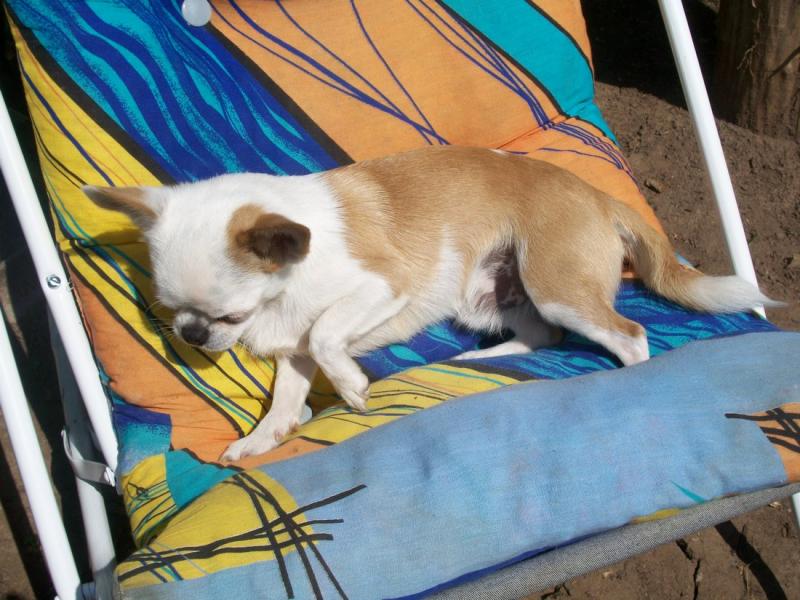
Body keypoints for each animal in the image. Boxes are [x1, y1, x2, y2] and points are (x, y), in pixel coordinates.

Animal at [83, 146, 780, 460]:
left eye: (229, 316)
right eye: (171, 312)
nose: (194, 335)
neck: (286, 287)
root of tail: (598, 195)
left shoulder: (380, 287)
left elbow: (328, 334)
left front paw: (353, 389)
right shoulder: (293, 349)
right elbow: (288, 391)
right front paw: (265, 438)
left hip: (557, 286)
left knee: (628, 337)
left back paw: (629, 377)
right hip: (492, 295)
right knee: (543, 337)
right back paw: (483, 359)